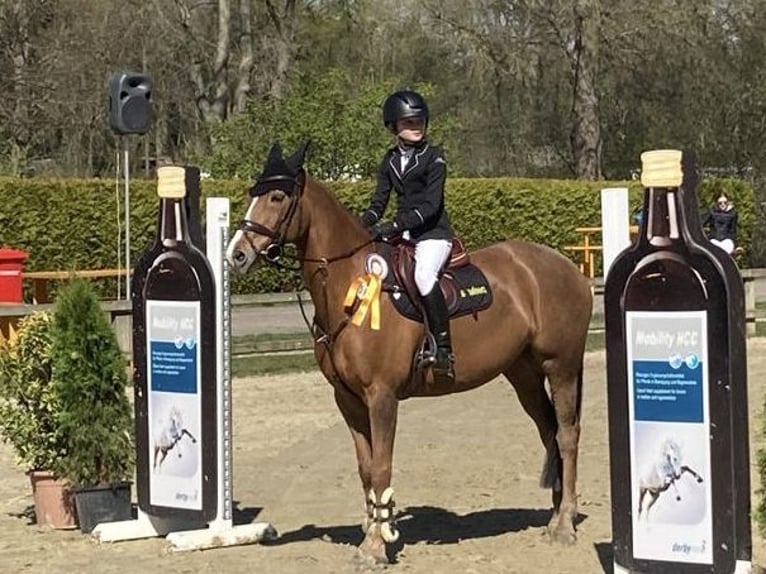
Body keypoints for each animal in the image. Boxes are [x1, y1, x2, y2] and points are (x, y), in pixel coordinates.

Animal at [226, 142, 592, 564]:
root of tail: (568, 267)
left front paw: (374, 547)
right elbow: (366, 468)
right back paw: (554, 516)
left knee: (567, 435)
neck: (349, 283)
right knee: (549, 432)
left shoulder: (381, 396)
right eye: (253, 193)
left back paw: (565, 524)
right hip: (524, 375)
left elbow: (382, 467)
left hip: (560, 366)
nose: (236, 255)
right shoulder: (347, 399)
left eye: (277, 197)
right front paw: (376, 530)